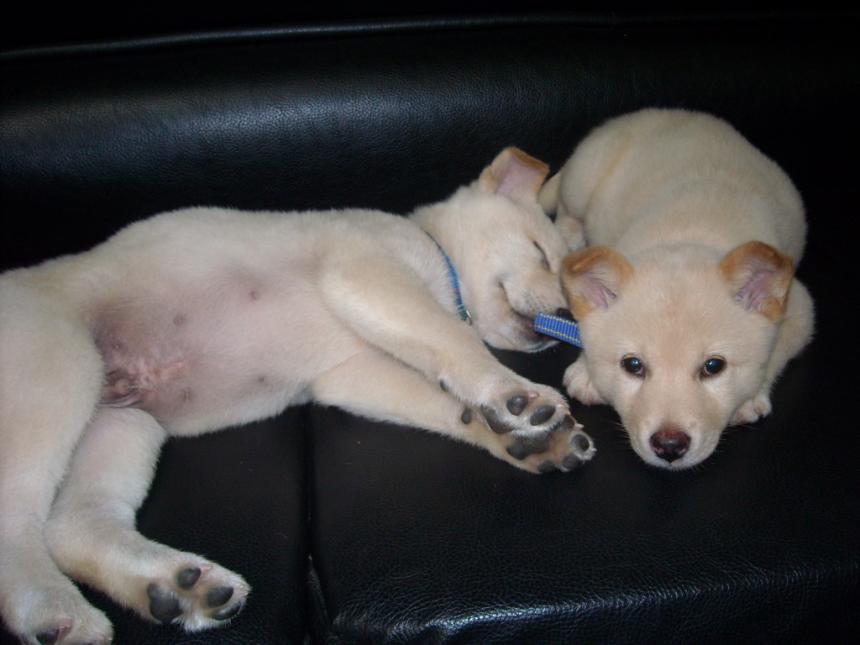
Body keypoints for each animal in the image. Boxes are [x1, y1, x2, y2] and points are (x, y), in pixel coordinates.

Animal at [0, 147, 596, 643]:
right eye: (541, 253)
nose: (562, 320)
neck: (437, 257)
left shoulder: (351, 371)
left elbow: (454, 403)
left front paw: (526, 440)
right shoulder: (368, 274)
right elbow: (455, 340)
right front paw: (516, 393)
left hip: (122, 424)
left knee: (76, 527)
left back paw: (173, 586)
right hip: (59, 373)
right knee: (17, 518)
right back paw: (50, 608)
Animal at [539, 109, 814, 469]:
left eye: (713, 367)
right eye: (633, 366)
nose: (670, 446)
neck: (688, 232)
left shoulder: (800, 307)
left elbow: (778, 347)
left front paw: (751, 394)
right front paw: (587, 370)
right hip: (582, 179)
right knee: (566, 210)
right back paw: (570, 236)